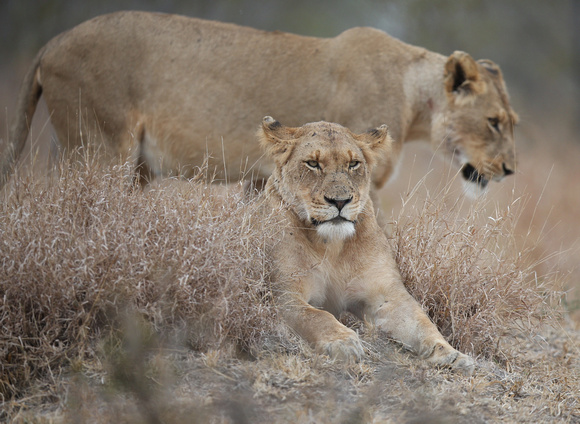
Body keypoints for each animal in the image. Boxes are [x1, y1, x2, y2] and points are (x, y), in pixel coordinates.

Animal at [0, 10, 516, 195]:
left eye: (511, 122)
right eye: (493, 122)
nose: (510, 170)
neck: (414, 99)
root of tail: (52, 43)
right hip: (101, 148)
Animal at [260, 116, 474, 374]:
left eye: (353, 164)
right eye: (312, 163)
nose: (340, 201)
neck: (331, 246)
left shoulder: (386, 295)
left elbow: (423, 323)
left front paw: (451, 355)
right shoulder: (283, 294)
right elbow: (315, 316)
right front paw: (343, 342)